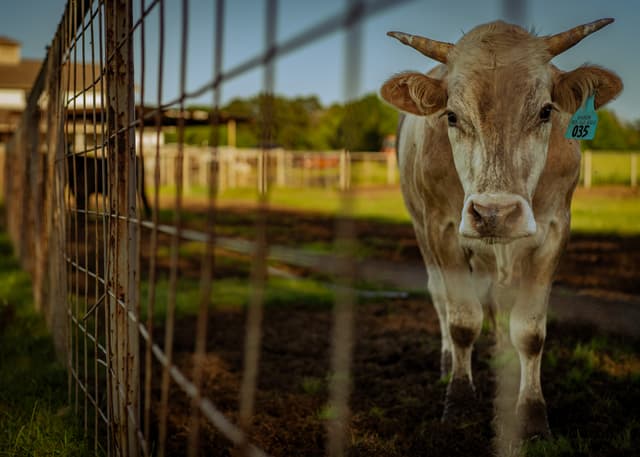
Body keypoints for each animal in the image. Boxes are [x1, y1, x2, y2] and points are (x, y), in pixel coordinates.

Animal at [380, 19, 622, 438]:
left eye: (545, 111)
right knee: (441, 298)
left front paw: (532, 412)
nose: (494, 213)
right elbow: (462, 320)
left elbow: (530, 331)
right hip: (421, 228)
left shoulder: (554, 230)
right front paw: (459, 399)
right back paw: (448, 364)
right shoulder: (443, 228)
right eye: (451, 116)